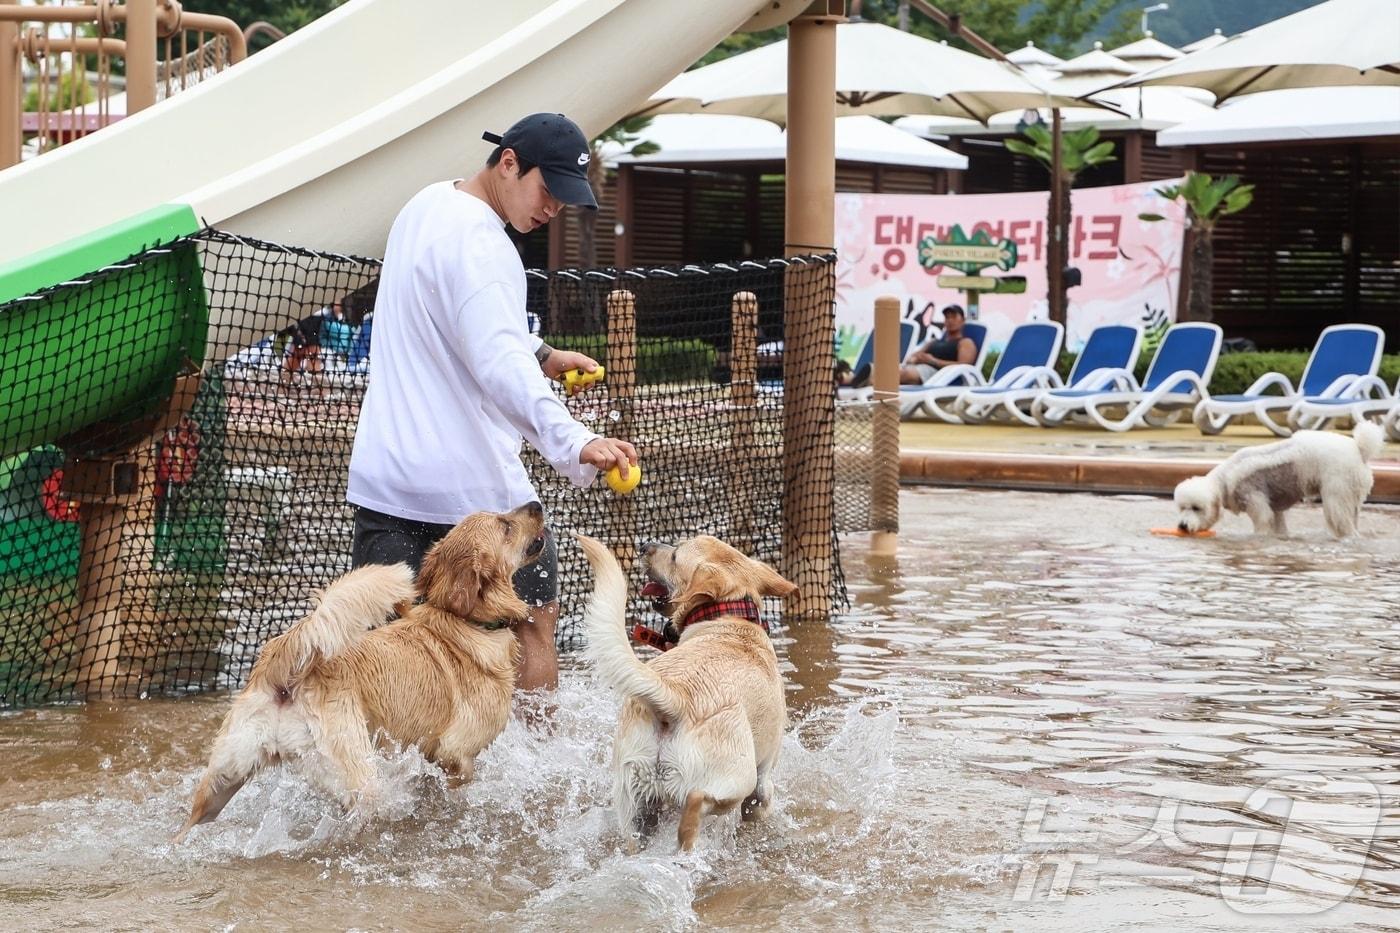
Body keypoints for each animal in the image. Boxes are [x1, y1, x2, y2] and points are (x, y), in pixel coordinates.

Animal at [176, 501, 546, 834]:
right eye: (505, 526)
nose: (536, 504)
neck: (463, 620)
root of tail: (287, 662)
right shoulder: (456, 753)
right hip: (362, 780)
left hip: (222, 778)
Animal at [576, 529, 800, 851]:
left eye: (674, 555)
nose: (643, 545)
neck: (728, 617)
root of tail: (675, 695)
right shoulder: (764, 776)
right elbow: (759, 805)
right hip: (737, 774)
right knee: (698, 801)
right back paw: (686, 839)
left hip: (635, 801)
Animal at [1176, 420, 1383, 535]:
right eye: (1182, 508)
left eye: (1196, 508)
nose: (1182, 526)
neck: (1223, 480)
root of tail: (1359, 449)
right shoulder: (1275, 511)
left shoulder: (1257, 504)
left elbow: (1262, 526)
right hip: (1352, 498)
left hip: (1337, 496)